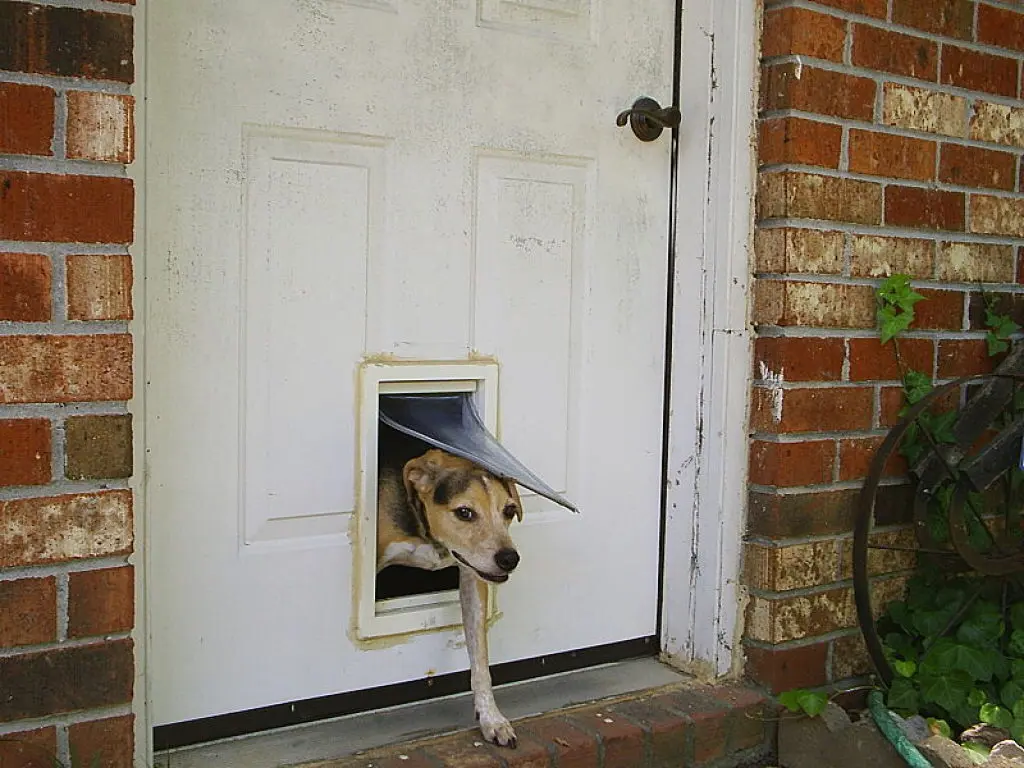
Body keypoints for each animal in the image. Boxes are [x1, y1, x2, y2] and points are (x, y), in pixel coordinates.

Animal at [376, 448, 524, 749]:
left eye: (509, 510)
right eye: (464, 512)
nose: (509, 559)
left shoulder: (473, 577)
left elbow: (480, 658)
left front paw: (492, 719)